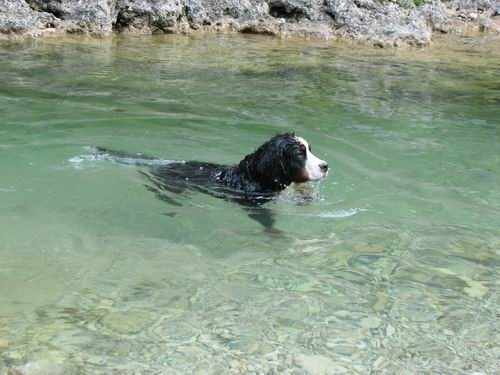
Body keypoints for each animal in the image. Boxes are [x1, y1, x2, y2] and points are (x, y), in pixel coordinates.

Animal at [95, 132, 328, 232]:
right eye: (300, 154)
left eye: (310, 149)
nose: (325, 165)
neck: (256, 175)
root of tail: (165, 163)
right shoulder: (253, 205)